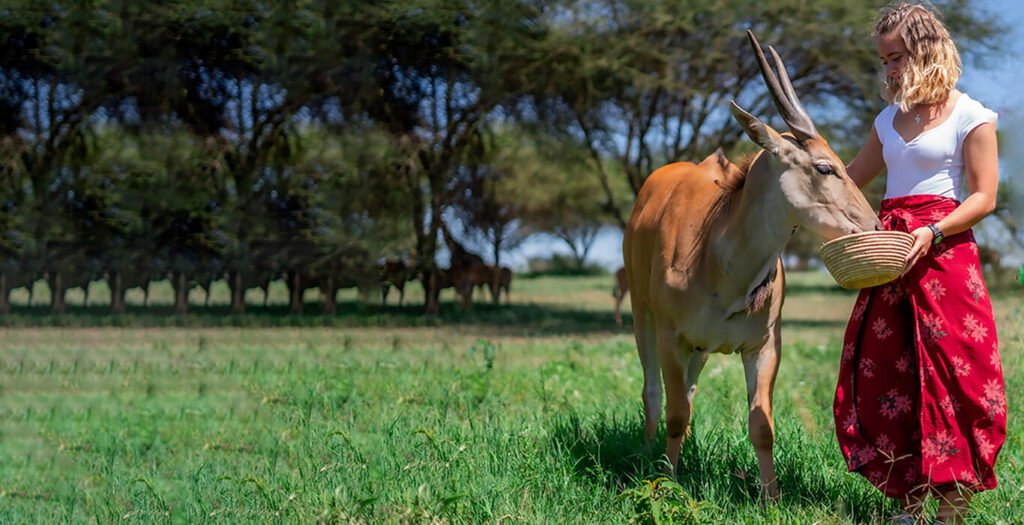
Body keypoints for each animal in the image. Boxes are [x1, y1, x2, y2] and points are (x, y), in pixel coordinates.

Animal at [622, 31, 881, 499]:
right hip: (641, 313)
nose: (875, 225)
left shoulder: (763, 346)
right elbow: (674, 412)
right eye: (825, 167)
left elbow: (761, 424)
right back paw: (651, 452)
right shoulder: (671, 336)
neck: (719, 264)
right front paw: (667, 482)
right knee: (654, 392)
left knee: (688, 390)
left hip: (699, 349)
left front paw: (771, 498)